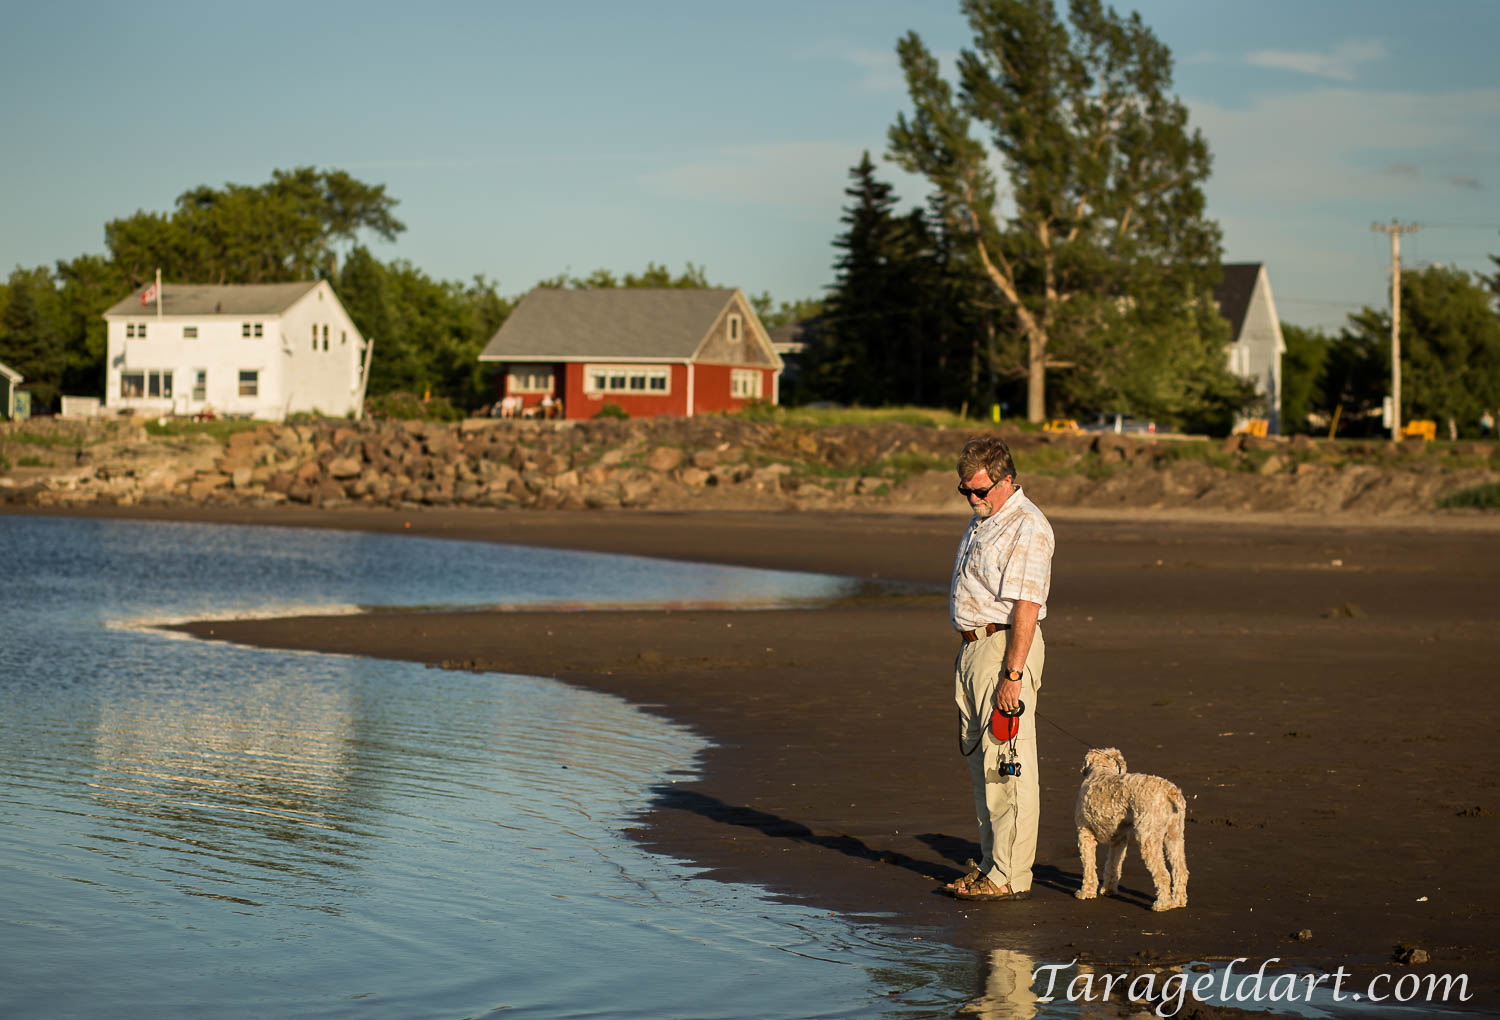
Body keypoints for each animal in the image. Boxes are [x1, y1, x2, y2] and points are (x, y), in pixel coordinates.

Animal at [1074, 750, 1188, 906]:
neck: (1101, 769)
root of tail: (1170, 791)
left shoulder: (1085, 834)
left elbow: (1089, 866)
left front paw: (1086, 892)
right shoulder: (1119, 839)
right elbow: (1112, 865)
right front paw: (1108, 889)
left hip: (1148, 839)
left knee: (1164, 874)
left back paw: (1162, 905)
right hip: (1174, 836)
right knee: (1180, 871)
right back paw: (1178, 901)